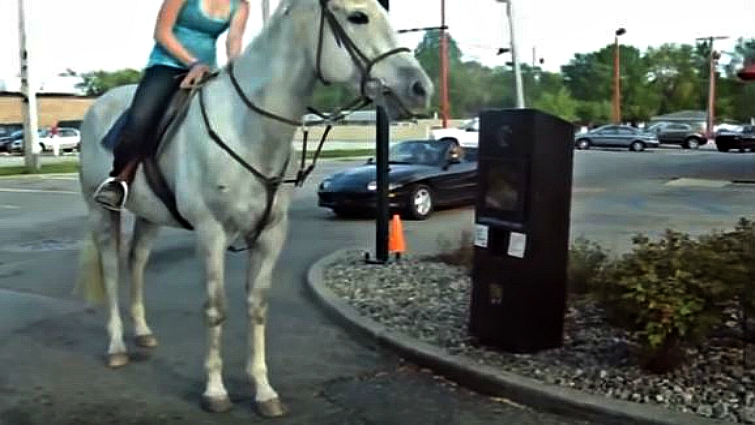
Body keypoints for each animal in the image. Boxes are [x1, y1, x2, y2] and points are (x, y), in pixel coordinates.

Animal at [74, 0, 432, 417]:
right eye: (357, 17)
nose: (420, 88)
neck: (248, 127)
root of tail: (99, 105)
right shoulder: (211, 233)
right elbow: (216, 309)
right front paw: (215, 391)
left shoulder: (271, 235)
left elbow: (257, 307)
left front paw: (263, 390)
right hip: (101, 211)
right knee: (112, 268)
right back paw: (116, 346)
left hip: (150, 216)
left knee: (137, 262)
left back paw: (143, 333)